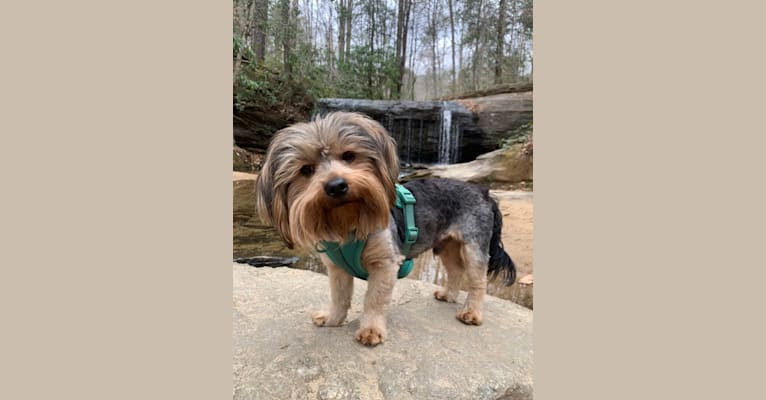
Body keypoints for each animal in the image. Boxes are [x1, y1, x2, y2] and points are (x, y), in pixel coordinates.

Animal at [256, 111, 516, 346]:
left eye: (349, 156)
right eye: (306, 170)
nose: (337, 186)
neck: (348, 223)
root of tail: (484, 193)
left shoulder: (384, 263)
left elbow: (374, 298)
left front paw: (371, 330)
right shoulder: (337, 268)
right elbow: (339, 296)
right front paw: (332, 319)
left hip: (474, 243)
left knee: (477, 280)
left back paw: (471, 313)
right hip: (447, 244)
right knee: (455, 269)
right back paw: (448, 295)